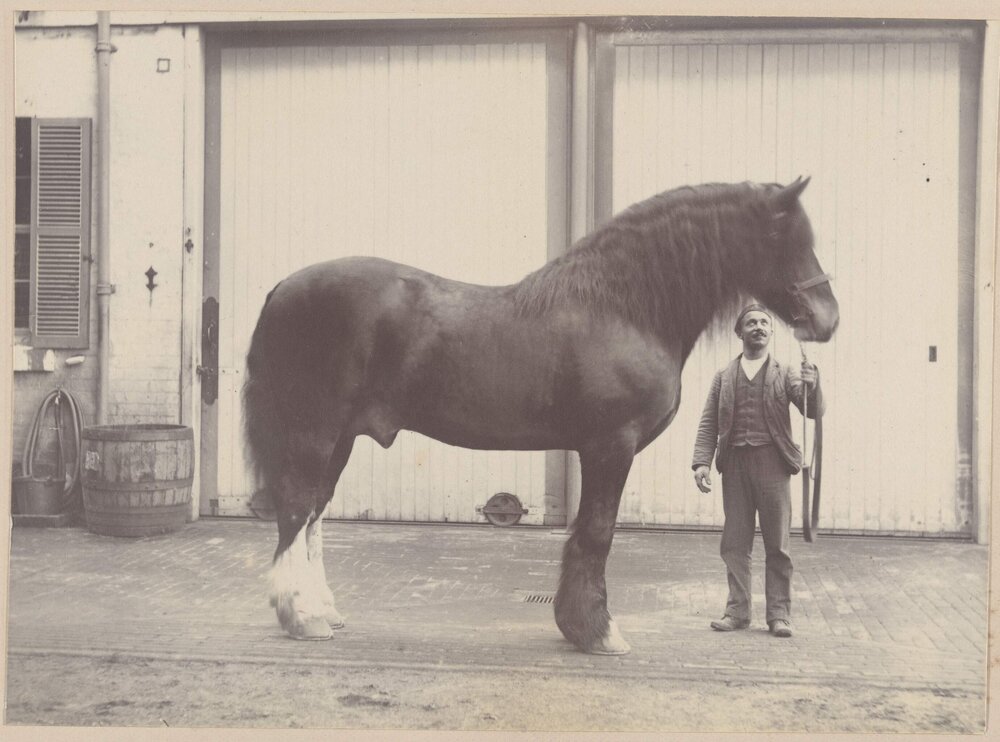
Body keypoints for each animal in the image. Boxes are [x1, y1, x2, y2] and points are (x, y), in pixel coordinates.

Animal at [242, 177, 839, 655]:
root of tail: (282, 290)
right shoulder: (609, 446)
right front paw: (598, 632)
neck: (621, 308)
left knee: (313, 514)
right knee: (296, 511)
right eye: (788, 238)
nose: (827, 320)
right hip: (315, 434)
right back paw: (302, 618)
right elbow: (596, 534)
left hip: (340, 439)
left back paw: (322, 610)